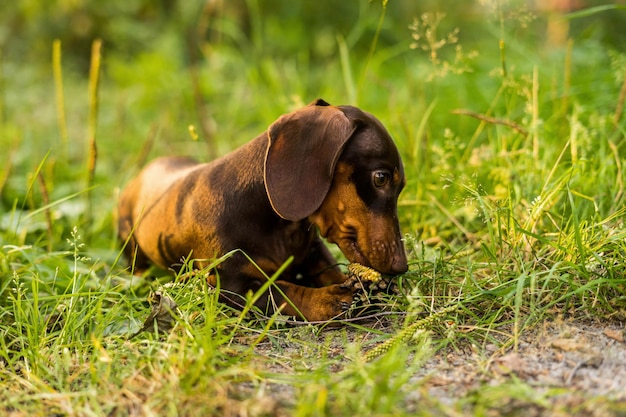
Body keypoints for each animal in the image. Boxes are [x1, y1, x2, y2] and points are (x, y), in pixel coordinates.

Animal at [119, 99, 408, 320]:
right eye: (380, 178)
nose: (401, 267)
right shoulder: (230, 285)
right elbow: (281, 291)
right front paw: (330, 298)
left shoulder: (313, 252)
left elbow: (330, 271)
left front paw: (367, 285)